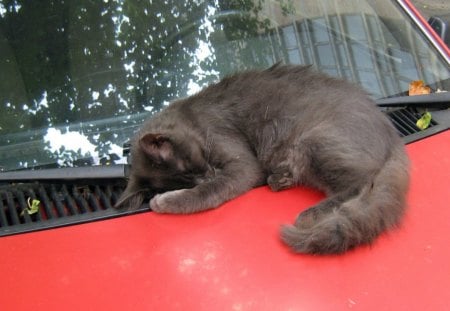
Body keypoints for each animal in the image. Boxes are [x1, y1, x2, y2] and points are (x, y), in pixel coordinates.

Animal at [115, 64, 408, 256]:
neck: (191, 119)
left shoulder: (240, 162)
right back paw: (281, 178)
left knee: (361, 181)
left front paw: (165, 202)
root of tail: (393, 136)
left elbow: (209, 191)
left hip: (317, 141)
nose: (208, 173)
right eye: (188, 173)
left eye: (192, 165)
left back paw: (310, 214)